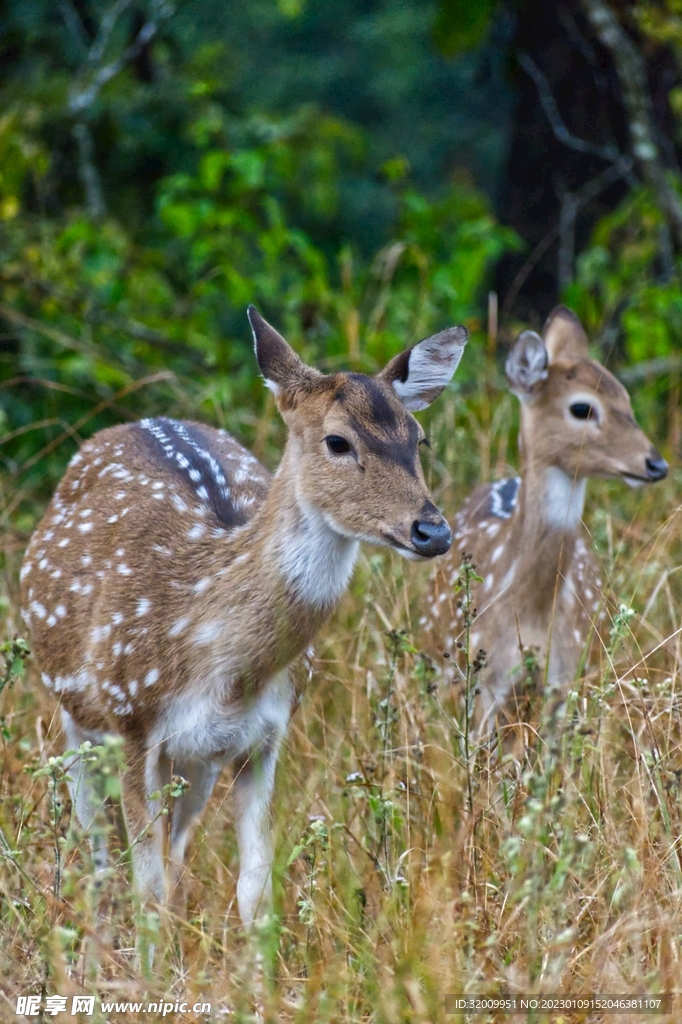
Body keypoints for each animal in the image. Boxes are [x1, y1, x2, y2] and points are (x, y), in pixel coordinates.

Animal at [20, 306, 467, 927]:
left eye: (419, 439)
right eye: (337, 440)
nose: (432, 531)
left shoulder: (266, 735)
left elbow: (254, 887)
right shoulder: (133, 719)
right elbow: (146, 887)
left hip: (197, 761)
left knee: (176, 847)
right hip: (77, 715)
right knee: (96, 843)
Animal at [423, 306, 667, 734]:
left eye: (625, 396)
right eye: (582, 408)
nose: (656, 464)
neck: (531, 610)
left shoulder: (566, 673)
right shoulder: (485, 679)